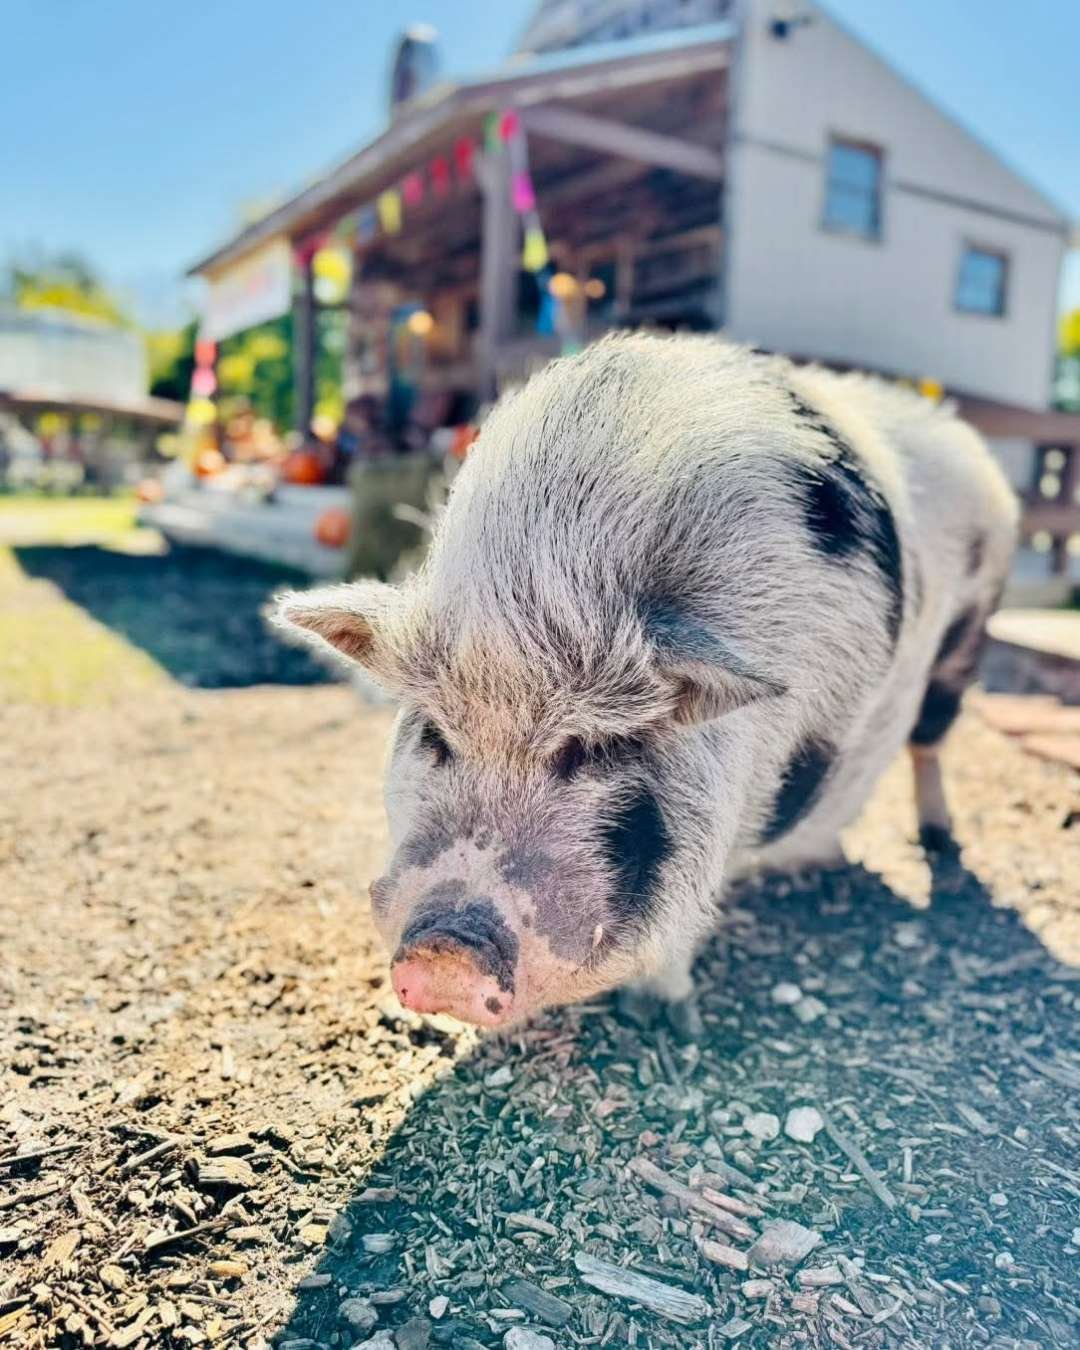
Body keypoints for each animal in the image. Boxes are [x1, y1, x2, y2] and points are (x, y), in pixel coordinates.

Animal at [274, 334, 1017, 1034]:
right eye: (435, 734)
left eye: (593, 749)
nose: (446, 951)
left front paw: (663, 1021)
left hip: (969, 633)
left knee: (930, 742)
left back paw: (937, 844)